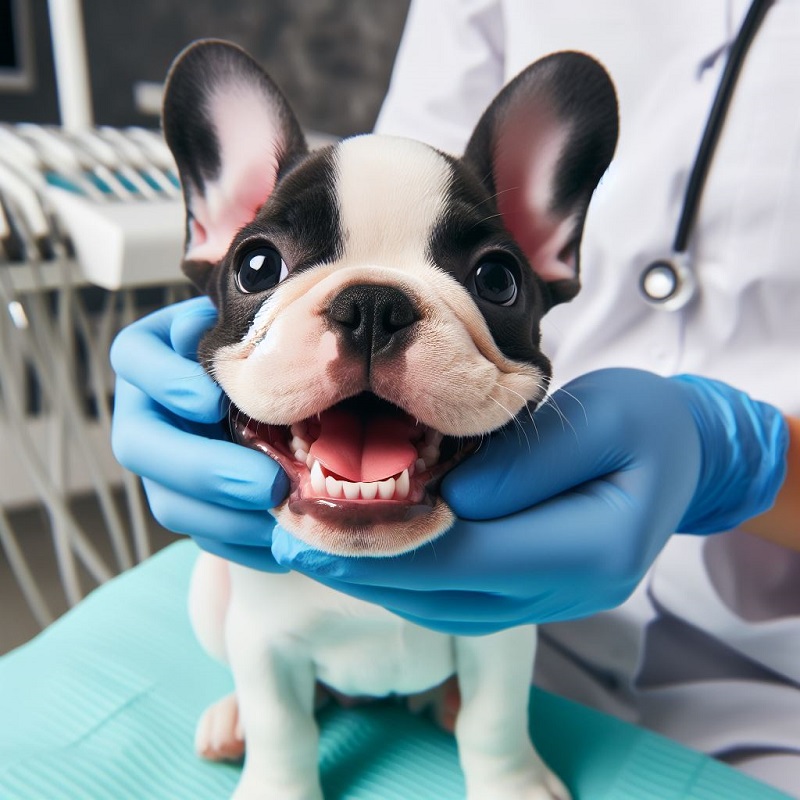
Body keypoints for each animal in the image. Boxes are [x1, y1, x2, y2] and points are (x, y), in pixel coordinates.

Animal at [161, 39, 612, 800]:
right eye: (257, 265)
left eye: (498, 279)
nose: (372, 303)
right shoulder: (263, 642)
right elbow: (283, 726)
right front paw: (274, 775)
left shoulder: (505, 633)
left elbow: (494, 723)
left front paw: (511, 783)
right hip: (209, 594)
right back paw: (232, 719)